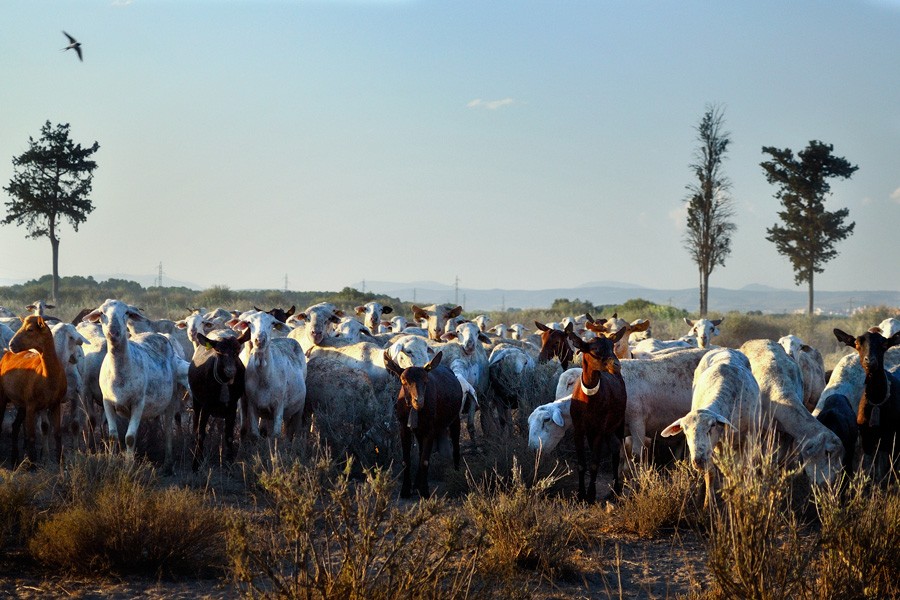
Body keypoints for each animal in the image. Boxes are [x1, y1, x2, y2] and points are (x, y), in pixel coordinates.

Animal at [0, 316, 67, 466]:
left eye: (30, 329)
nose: (11, 344)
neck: (48, 375)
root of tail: (6, 354)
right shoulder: (31, 405)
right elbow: (31, 436)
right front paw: (33, 465)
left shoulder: (55, 404)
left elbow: (58, 434)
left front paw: (60, 461)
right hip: (2, 397)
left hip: (21, 403)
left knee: (15, 426)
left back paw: (14, 459)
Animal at [188, 330, 248, 472]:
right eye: (219, 351)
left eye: (237, 350)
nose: (230, 371)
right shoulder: (206, 405)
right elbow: (201, 434)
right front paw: (196, 464)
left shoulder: (232, 406)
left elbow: (229, 436)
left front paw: (229, 462)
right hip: (196, 401)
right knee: (195, 425)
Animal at [384, 350, 464, 500]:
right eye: (404, 381)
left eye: (426, 381)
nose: (419, 401)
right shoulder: (404, 427)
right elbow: (407, 460)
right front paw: (405, 490)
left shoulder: (430, 429)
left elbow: (425, 461)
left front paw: (425, 491)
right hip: (419, 431)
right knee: (421, 451)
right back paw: (416, 484)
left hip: (455, 418)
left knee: (456, 447)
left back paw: (457, 475)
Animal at [564, 328, 624, 502]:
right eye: (595, 349)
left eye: (612, 346)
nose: (617, 365)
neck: (589, 399)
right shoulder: (579, 429)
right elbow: (581, 464)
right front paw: (580, 494)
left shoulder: (599, 429)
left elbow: (594, 463)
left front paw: (590, 495)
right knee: (613, 448)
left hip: (618, 423)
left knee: (617, 450)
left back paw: (617, 489)